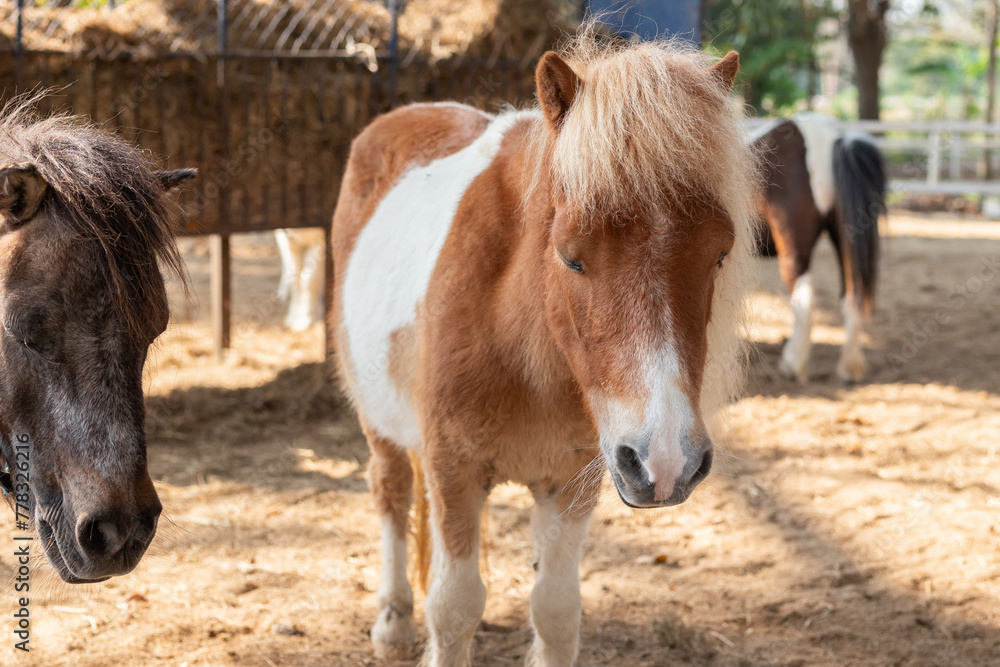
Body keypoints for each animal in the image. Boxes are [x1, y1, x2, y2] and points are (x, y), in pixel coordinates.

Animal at [331, 32, 757, 665]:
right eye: (571, 256)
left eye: (720, 253)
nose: (665, 462)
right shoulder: (453, 469)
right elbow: (453, 610)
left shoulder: (572, 481)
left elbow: (556, 612)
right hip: (377, 420)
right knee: (390, 492)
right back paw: (392, 619)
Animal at [748, 114, 885, 383]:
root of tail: (834, 139)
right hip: (845, 239)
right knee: (852, 296)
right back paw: (849, 366)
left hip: (795, 248)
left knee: (804, 301)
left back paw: (793, 364)